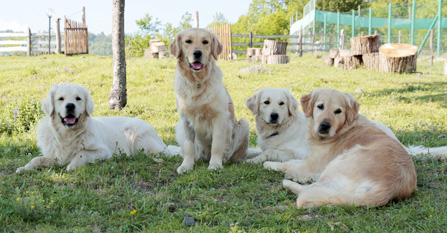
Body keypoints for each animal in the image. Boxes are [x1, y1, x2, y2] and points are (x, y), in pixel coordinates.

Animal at [17, 84, 178, 172]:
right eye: (61, 99)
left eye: (78, 98)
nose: (70, 106)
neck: (67, 134)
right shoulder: (55, 155)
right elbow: (37, 159)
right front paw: (24, 168)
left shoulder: (103, 151)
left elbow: (81, 153)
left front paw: (72, 165)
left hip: (140, 143)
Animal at [264, 89, 418, 209]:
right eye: (320, 106)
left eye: (338, 111)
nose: (324, 125)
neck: (343, 128)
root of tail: (388, 188)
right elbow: (292, 161)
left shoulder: (309, 167)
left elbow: (287, 164)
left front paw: (268, 164)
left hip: (339, 162)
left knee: (309, 190)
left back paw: (288, 183)